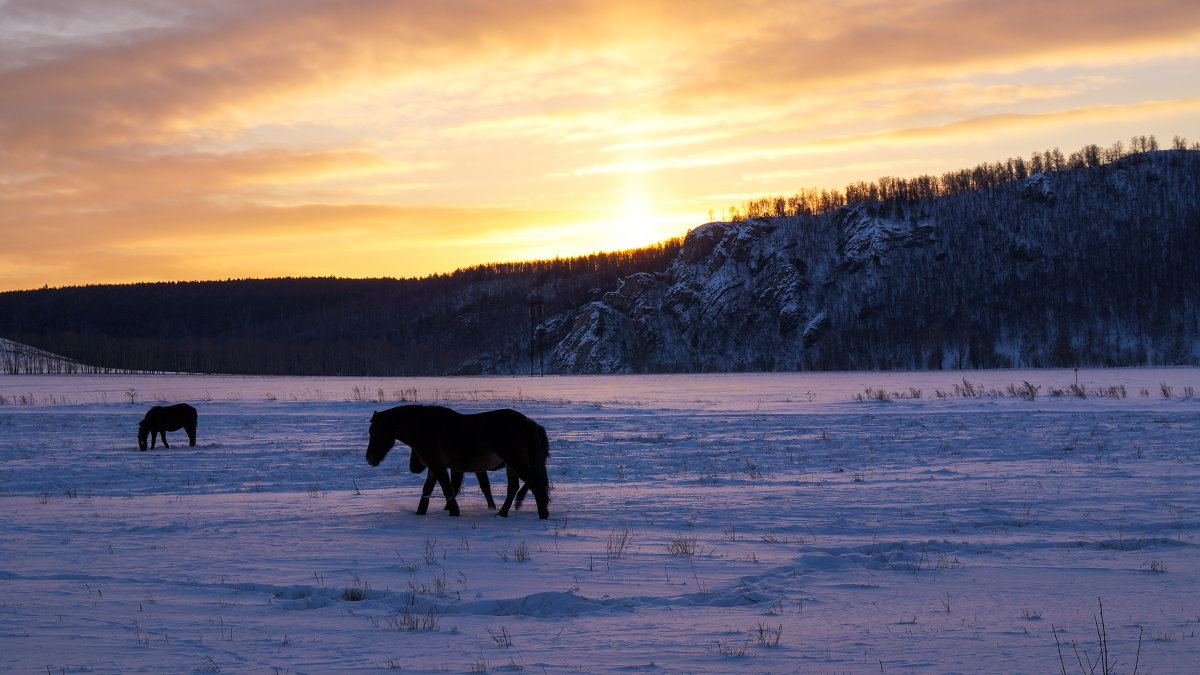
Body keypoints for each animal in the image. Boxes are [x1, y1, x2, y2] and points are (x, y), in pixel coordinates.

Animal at [367, 401, 549, 516]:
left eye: (375, 433)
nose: (369, 459)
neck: (425, 428)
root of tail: (528, 422)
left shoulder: (438, 466)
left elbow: (447, 488)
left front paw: (454, 512)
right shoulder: (434, 466)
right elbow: (427, 489)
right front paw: (420, 512)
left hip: (515, 461)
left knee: (532, 483)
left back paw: (542, 514)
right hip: (512, 464)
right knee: (514, 487)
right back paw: (502, 514)